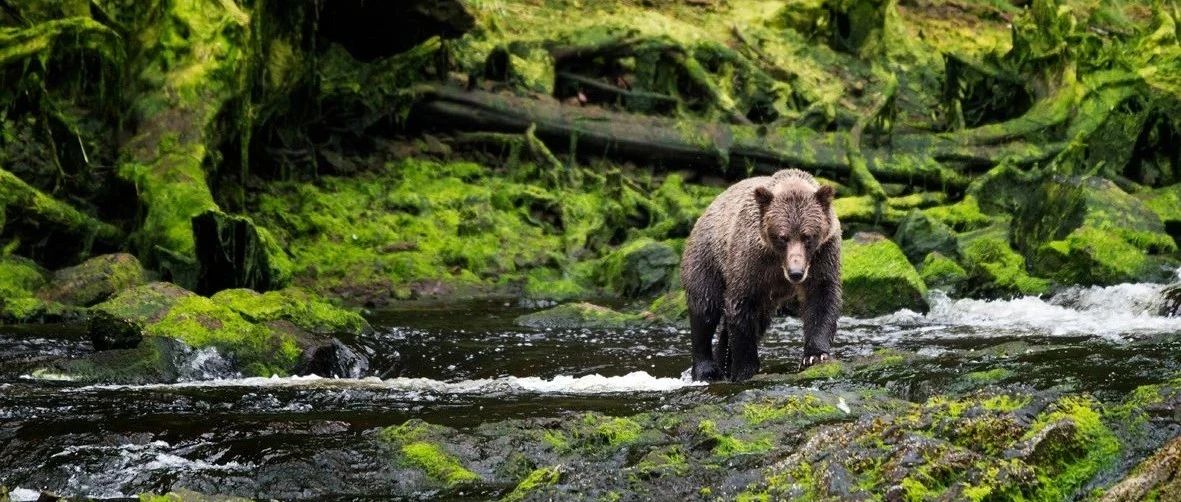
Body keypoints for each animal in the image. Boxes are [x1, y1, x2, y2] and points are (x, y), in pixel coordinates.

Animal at [680, 167, 845, 380]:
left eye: (807, 236)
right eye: (783, 237)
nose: (796, 273)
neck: (777, 262)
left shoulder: (823, 254)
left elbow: (822, 298)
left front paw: (815, 355)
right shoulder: (750, 260)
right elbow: (741, 305)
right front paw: (745, 369)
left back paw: (723, 362)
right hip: (707, 258)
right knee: (705, 308)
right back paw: (706, 369)